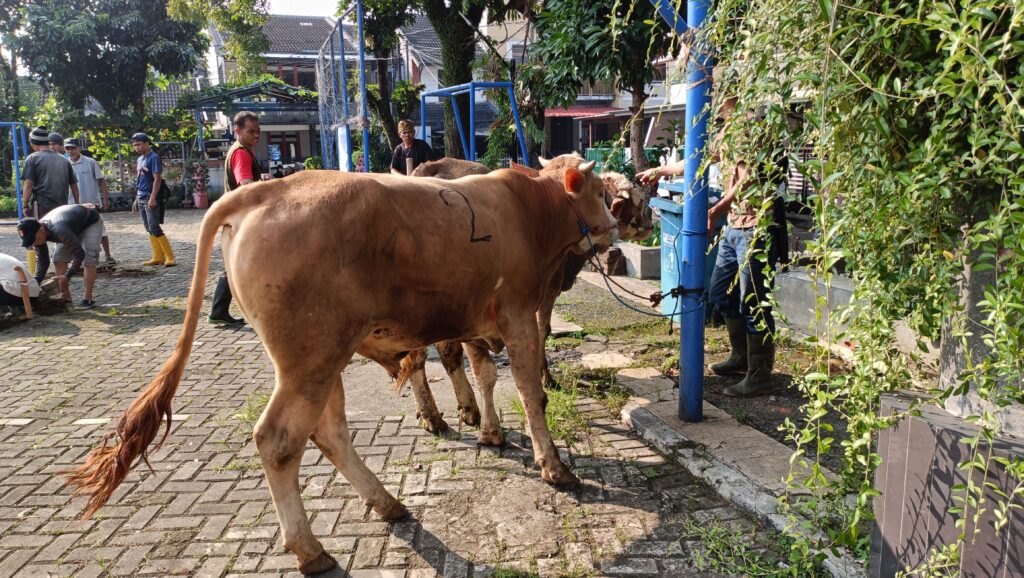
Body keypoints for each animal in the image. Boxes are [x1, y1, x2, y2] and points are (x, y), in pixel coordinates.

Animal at [66, 160, 616, 575]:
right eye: (601, 191)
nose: (614, 231)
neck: (531, 211)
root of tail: (264, 191)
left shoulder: (477, 322)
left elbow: (484, 376)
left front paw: (488, 431)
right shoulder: (519, 316)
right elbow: (529, 392)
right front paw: (554, 467)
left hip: (322, 358)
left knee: (328, 431)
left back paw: (387, 503)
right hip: (310, 359)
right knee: (279, 440)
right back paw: (310, 549)